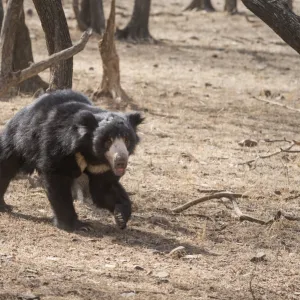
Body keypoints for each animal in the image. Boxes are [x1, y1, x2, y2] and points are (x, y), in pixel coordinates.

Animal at [0, 90, 144, 231]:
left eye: (127, 139)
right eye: (108, 141)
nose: (121, 160)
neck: (90, 153)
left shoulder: (102, 166)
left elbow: (103, 188)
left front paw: (121, 216)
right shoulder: (59, 148)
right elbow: (59, 182)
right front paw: (78, 226)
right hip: (21, 140)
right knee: (6, 165)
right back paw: (4, 206)